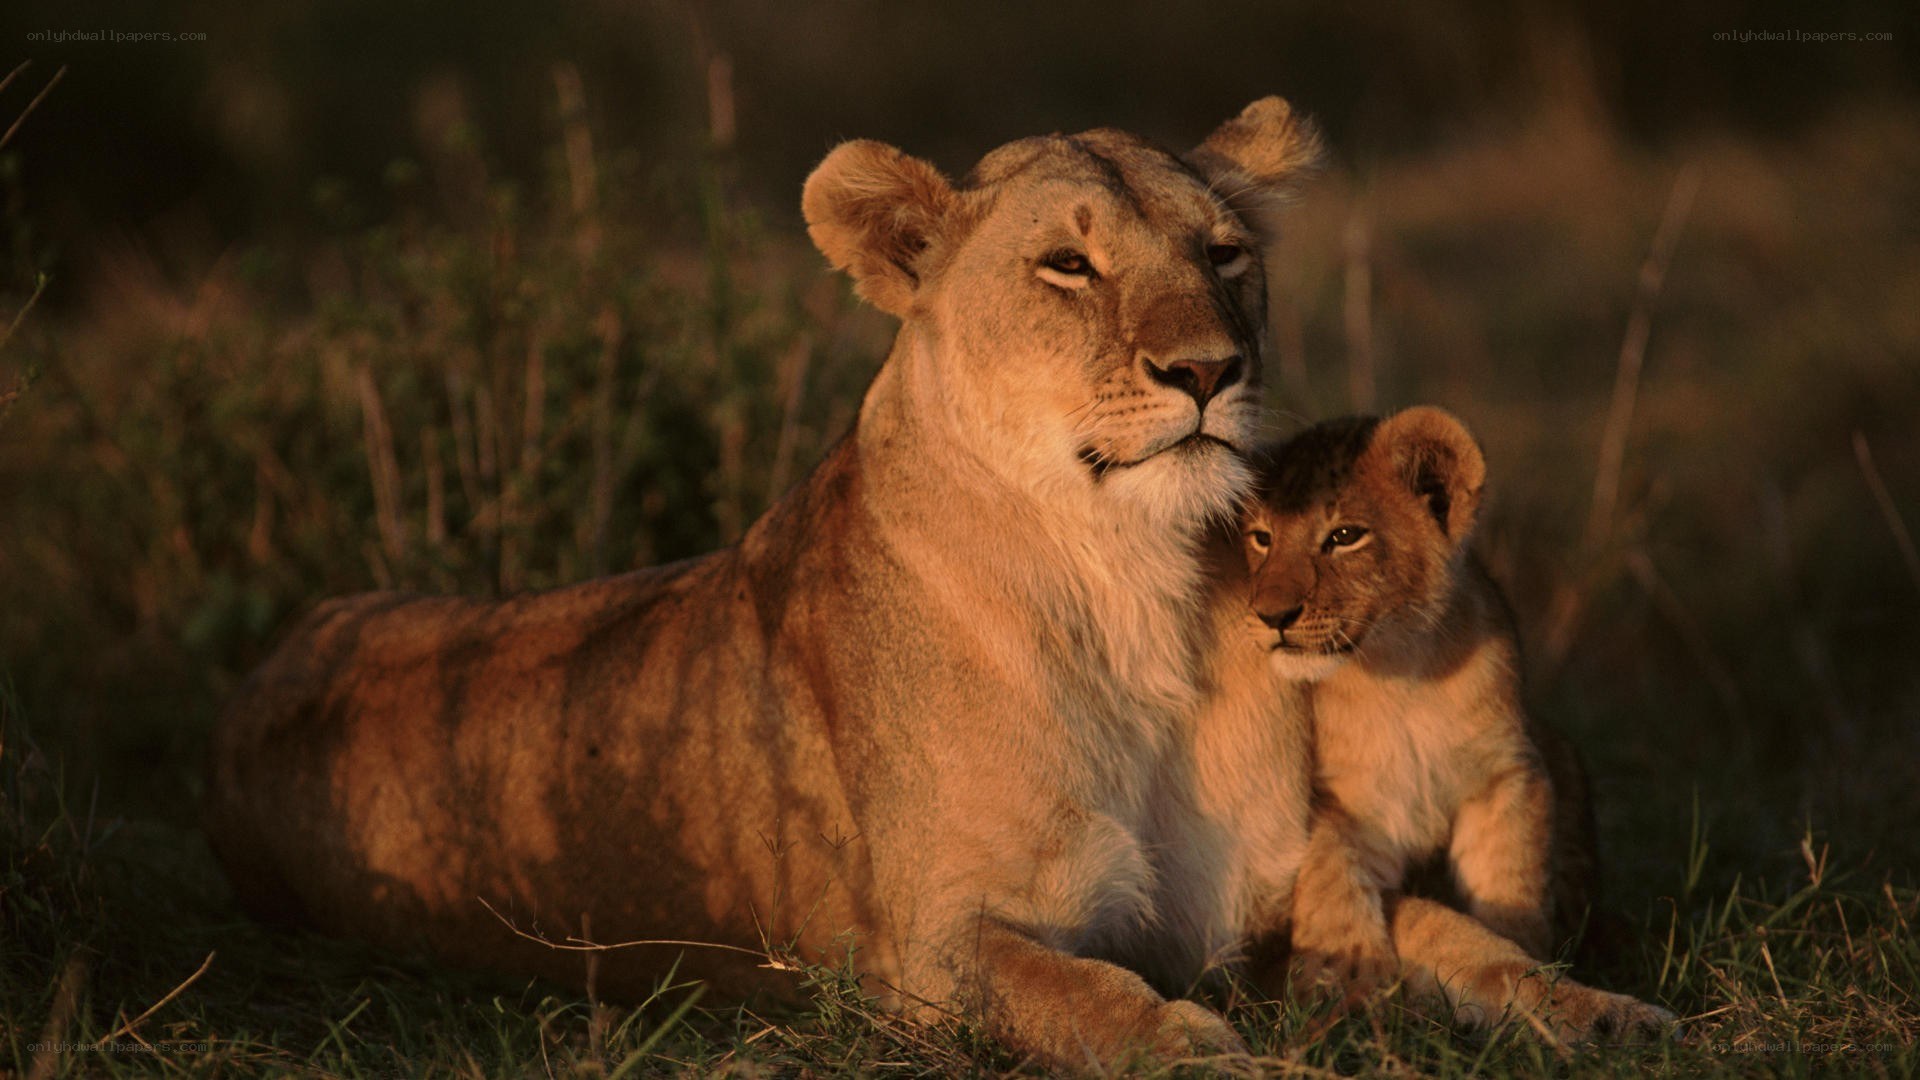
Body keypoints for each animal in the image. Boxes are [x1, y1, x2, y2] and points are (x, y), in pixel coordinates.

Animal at [207, 102, 1666, 1070]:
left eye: (1224, 255)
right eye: (1070, 264)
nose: (1210, 369)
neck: (1135, 590)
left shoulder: (1264, 895)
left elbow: (1460, 939)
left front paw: (1607, 1013)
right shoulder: (929, 951)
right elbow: (1112, 1010)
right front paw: (1232, 1055)